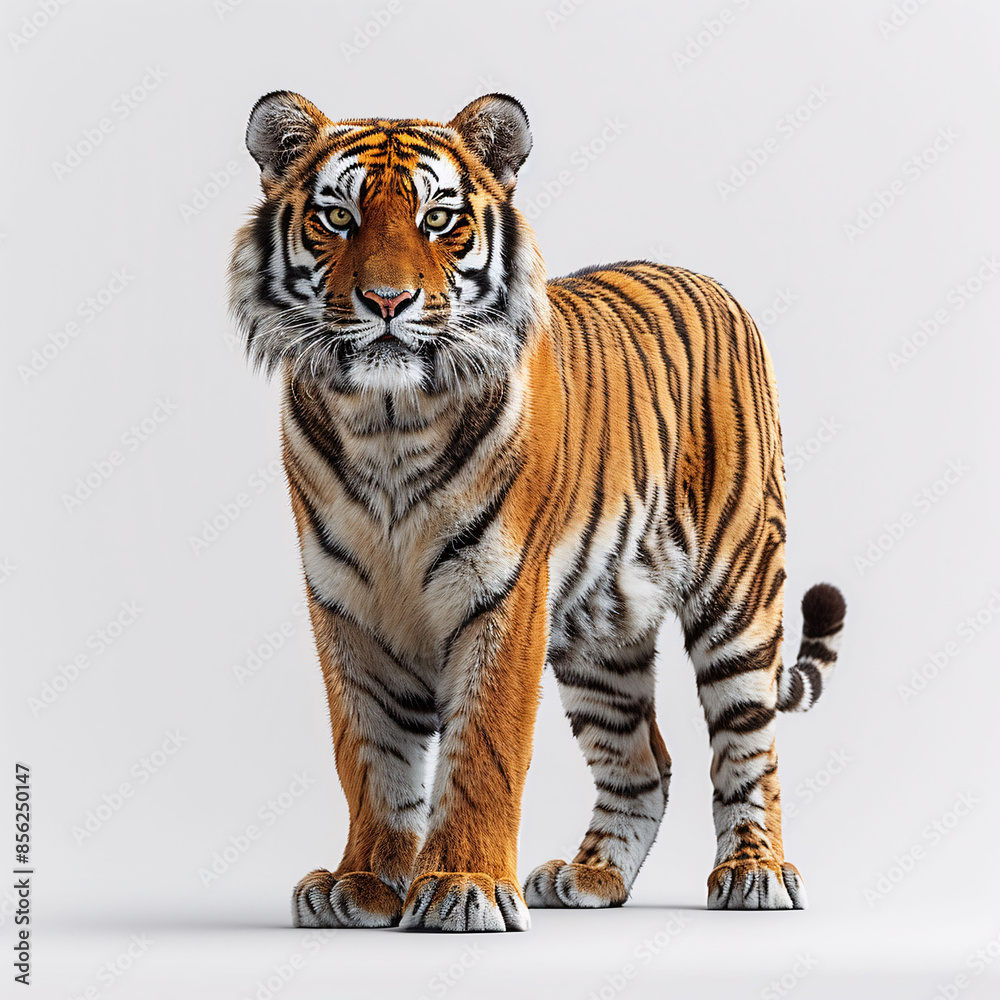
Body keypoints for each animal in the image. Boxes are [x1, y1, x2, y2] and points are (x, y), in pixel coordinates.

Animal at [228, 90, 846, 932]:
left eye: (437, 219)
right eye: (338, 217)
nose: (387, 302)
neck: (387, 424)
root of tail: (706, 280)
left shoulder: (505, 591)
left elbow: (484, 744)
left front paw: (462, 886)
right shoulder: (346, 604)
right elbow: (369, 753)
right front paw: (363, 885)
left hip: (740, 588)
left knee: (749, 747)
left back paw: (756, 874)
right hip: (600, 633)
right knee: (644, 762)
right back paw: (591, 878)